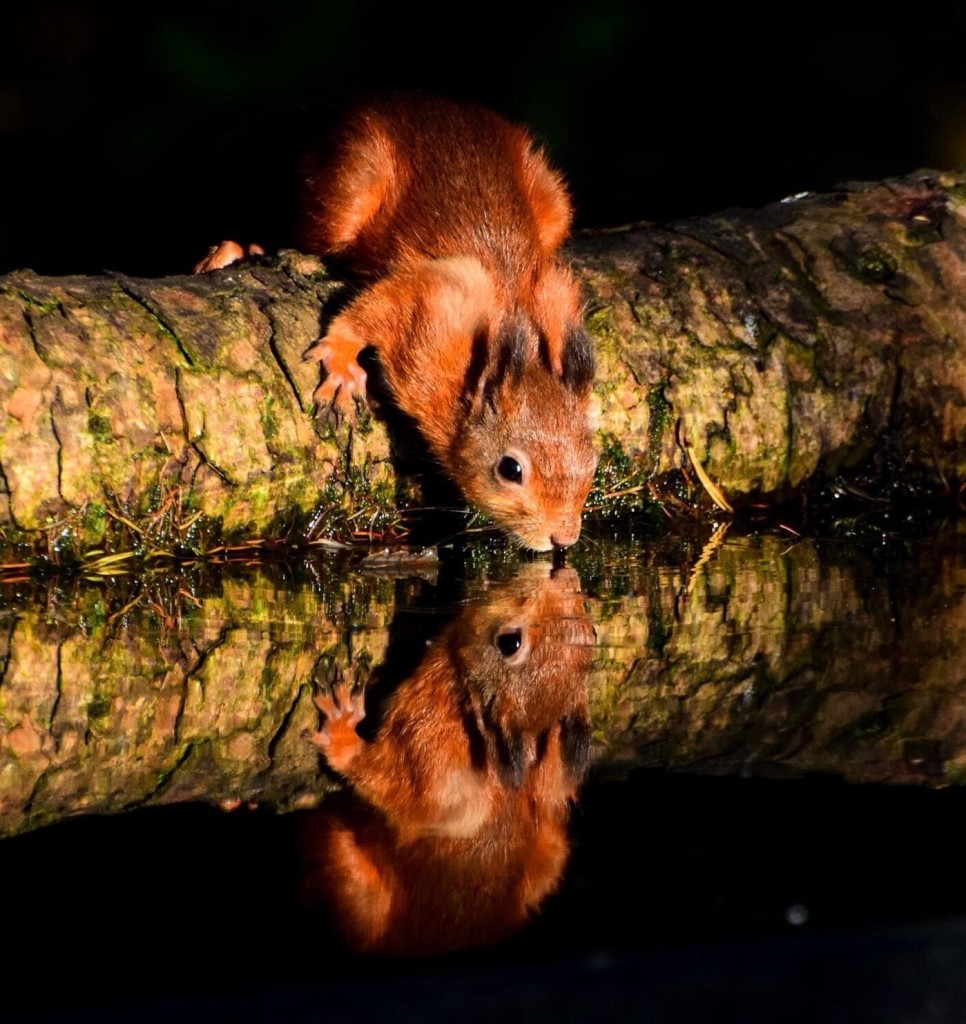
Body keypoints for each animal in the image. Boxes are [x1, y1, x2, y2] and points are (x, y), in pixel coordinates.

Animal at [197, 96, 598, 552]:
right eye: (510, 469)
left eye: (592, 463)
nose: (563, 538)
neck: (519, 334)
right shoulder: (435, 300)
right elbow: (374, 308)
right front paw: (342, 361)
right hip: (348, 191)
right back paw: (240, 250)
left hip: (554, 201)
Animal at [299, 565, 598, 954]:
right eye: (595, 632)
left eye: (510, 643)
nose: (563, 574)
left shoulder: (427, 738)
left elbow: (400, 791)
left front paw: (342, 732)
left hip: (342, 865)